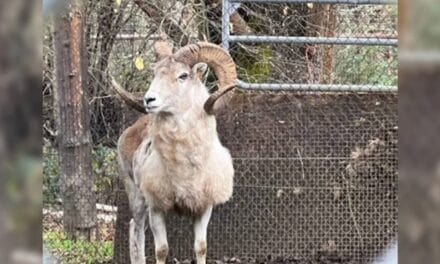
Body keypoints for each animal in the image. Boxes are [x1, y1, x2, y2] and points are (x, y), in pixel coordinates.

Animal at [111, 41, 239, 264]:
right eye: (155, 73)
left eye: (183, 76)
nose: (149, 100)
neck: (186, 170)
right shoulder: (157, 209)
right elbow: (162, 250)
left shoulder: (203, 208)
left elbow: (200, 247)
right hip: (137, 198)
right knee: (136, 232)